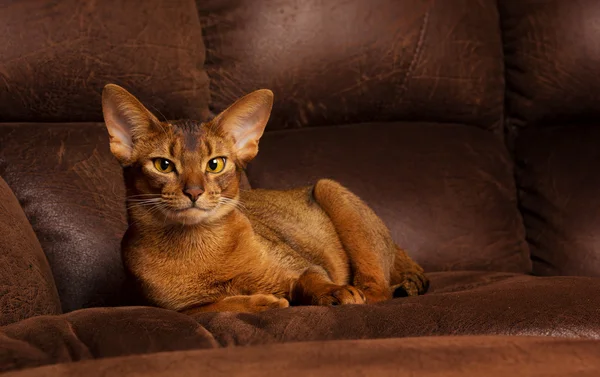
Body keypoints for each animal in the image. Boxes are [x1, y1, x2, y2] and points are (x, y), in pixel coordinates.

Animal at [104, 83, 432, 312]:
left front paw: (332, 292)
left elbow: (311, 277)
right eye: (163, 165)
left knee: (379, 291)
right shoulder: (181, 309)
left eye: (215, 164)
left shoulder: (301, 265)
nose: (194, 192)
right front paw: (264, 301)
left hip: (329, 189)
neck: (196, 248)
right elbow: (217, 305)